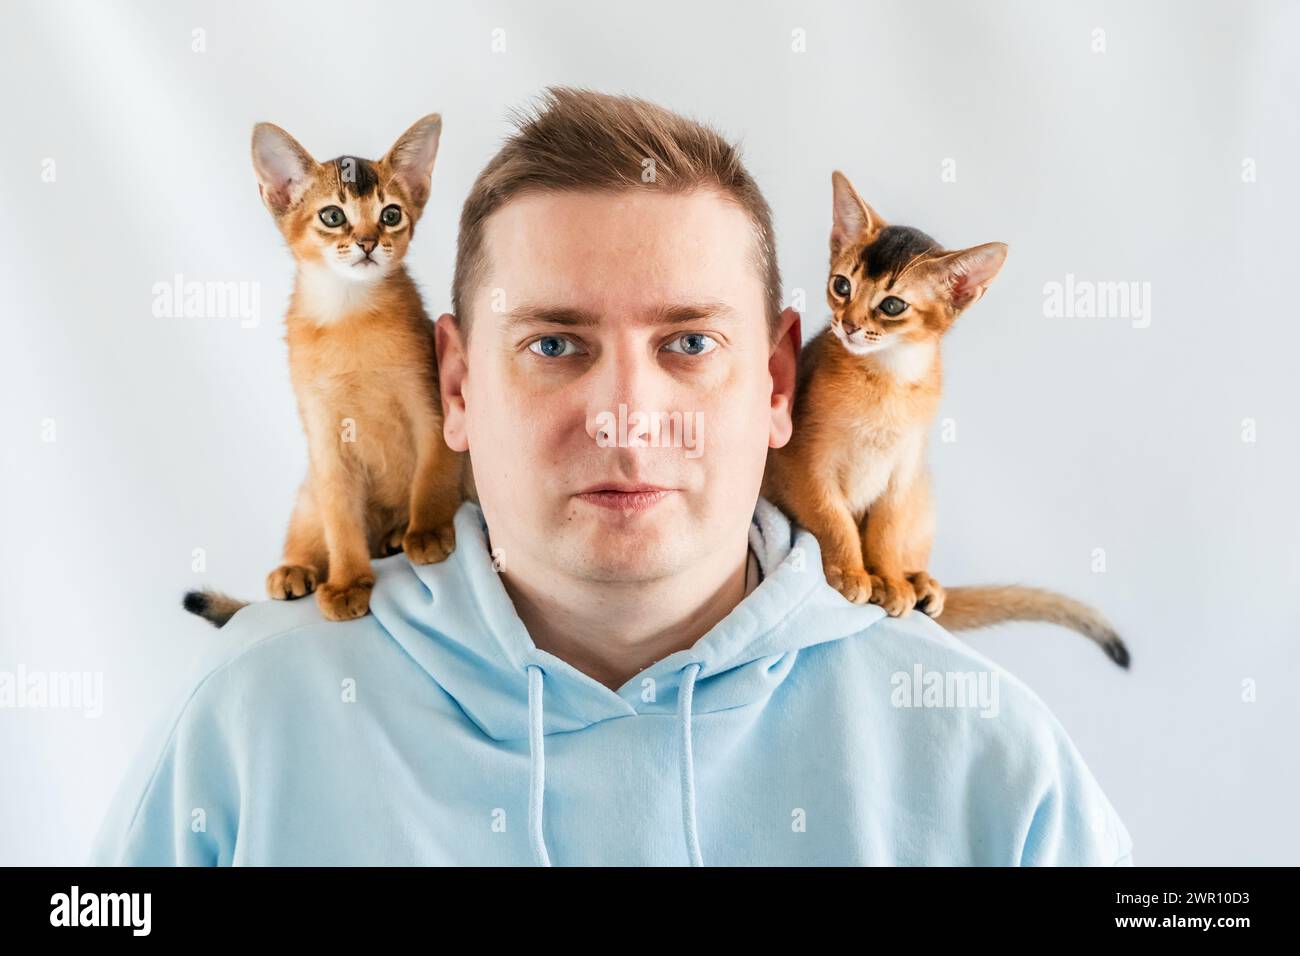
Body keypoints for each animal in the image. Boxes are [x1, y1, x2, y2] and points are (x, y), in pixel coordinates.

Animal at [183, 113, 467, 629]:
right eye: (333, 216)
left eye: (391, 214)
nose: (368, 242)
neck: (348, 314)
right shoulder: (325, 436)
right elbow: (339, 521)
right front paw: (348, 582)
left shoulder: (432, 408)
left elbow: (432, 476)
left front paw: (428, 530)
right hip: (308, 489)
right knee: (312, 526)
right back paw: (295, 569)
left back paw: (397, 535)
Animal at [759, 171, 1128, 665]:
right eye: (841, 285)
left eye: (892, 306)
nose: (849, 325)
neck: (888, 382)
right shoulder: (806, 464)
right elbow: (835, 522)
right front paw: (852, 571)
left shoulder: (903, 470)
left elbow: (886, 532)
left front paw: (889, 579)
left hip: (922, 490)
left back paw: (919, 584)